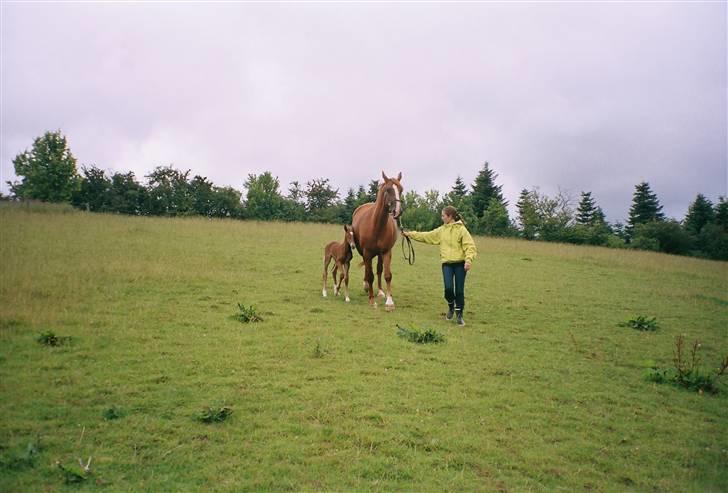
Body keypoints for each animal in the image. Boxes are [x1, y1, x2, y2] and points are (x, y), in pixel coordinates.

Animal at [352, 169, 404, 308]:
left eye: (401, 190)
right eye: (388, 190)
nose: (397, 211)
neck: (376, 225)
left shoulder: (386, 252)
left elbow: (387, 275)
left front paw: (389, 301)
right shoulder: (367, 252)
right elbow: (370, 275)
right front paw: (371, 300)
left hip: (380, 254)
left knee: (379, 269)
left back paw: (380, 291)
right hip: (363, 252)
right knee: (367, 269)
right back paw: (366, 286)